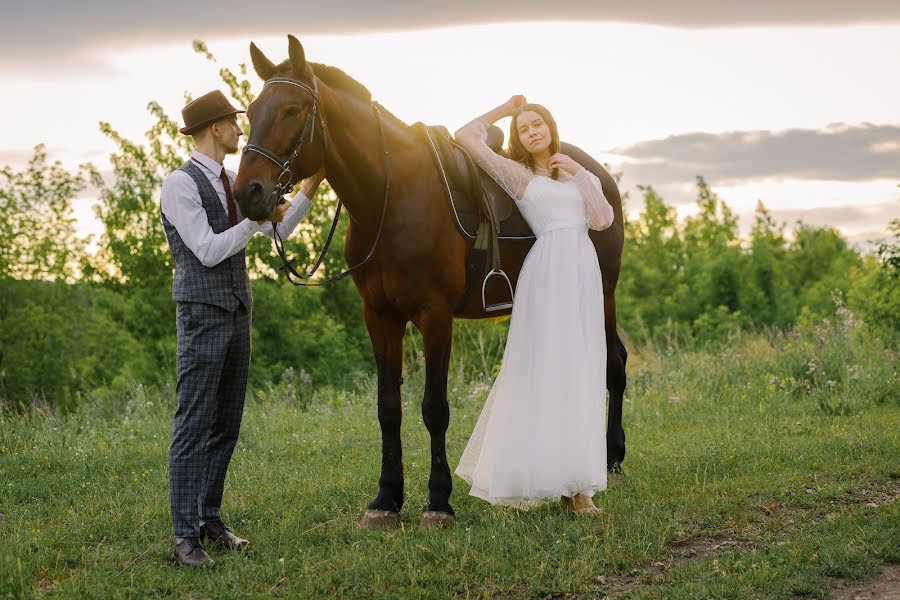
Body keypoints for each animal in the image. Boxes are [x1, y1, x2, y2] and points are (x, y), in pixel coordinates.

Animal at [232, 35, 624, 528]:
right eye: (251, 110)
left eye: (293, 108)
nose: (248, 193)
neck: (392, 196)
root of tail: (600, 177)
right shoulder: (379, 316)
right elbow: (388, 408)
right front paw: (386, 498)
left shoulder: (434, 315)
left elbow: (434, 408)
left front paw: (438, 501)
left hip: (604, 293)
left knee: (613, 364)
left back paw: (610, 460)